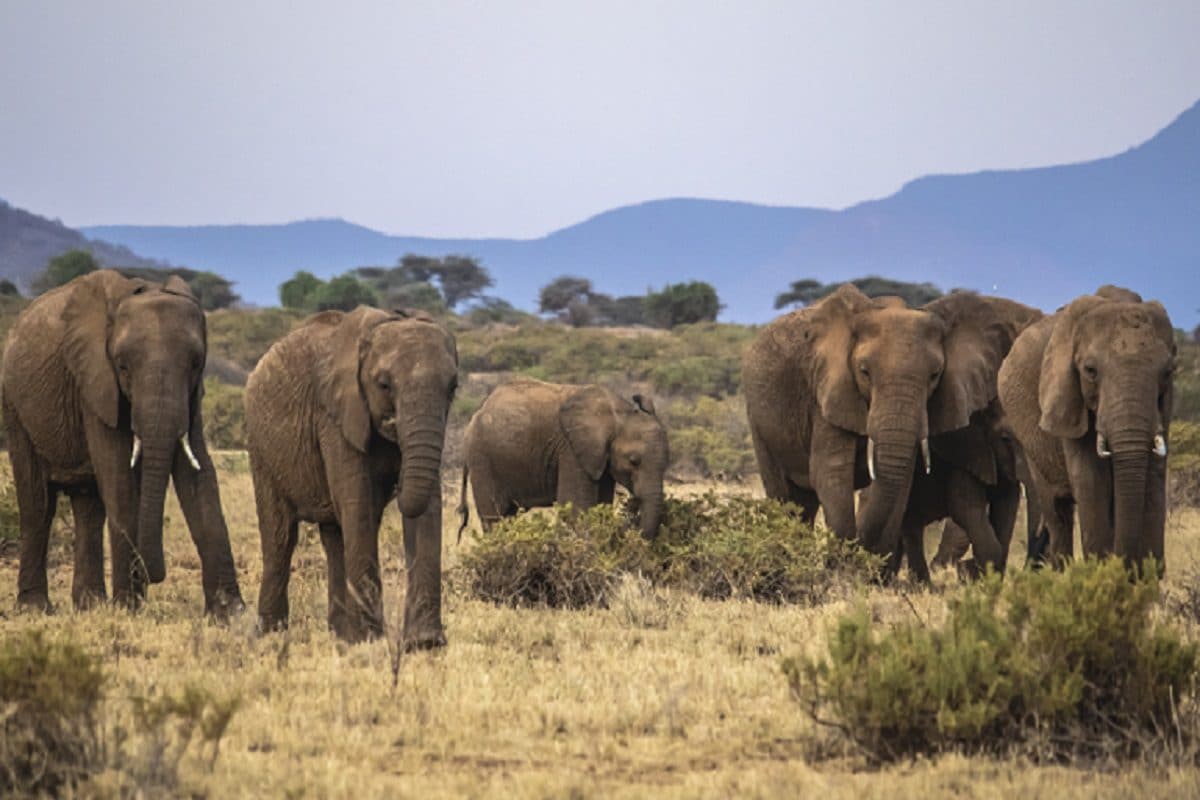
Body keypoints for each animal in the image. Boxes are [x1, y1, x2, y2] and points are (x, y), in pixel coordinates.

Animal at [0, 268, 246, 614]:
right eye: (123, 366)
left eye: (196, 364)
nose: (155, 576)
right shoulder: (94, 382)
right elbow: (118, 476)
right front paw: (129, 607)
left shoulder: (192, 395)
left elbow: (198, 475)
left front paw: (232, 614)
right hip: (15, 407)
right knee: (37, 503)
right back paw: (35, 609)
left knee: (88, 505)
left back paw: (90, 605)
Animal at [244, 303, 458, 647]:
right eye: (384, 384)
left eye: (452, 387)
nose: (396, 489)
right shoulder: (334, 417)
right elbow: (358, 504)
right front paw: (371, 639)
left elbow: (426, 506)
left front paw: (424, 644)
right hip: (261, 448)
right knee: (280, 535)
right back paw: (271, 633)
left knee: (335, 537)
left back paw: (341, 635)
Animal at [456, 379, 672, 542]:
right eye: (634, 461)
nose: (629, 528)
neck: (619, 413)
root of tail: (475, 416)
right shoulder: (571, 449)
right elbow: (576, 505)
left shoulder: (599, 458)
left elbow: (601, 504)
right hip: (482, 459)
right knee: (495, 516)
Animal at [744, 286, 1046, 568]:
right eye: (864, 372)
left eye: (934, 375)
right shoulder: (828, 392)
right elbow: (831, 472)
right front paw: (842, 571)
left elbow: (900, 482)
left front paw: (871, 568)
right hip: (759, 419)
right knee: (783, 494)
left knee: (803, 503)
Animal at [993, 287, 1171, 568]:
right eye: (1090, 371)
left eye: (1167, 372)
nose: (1124, 564)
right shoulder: (1068, 398)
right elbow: (1090, 481)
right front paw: (1104, 571)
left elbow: (1154, 478)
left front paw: (1148, 574)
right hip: (1029, 441)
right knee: (1057, 511)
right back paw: (1062, 570)